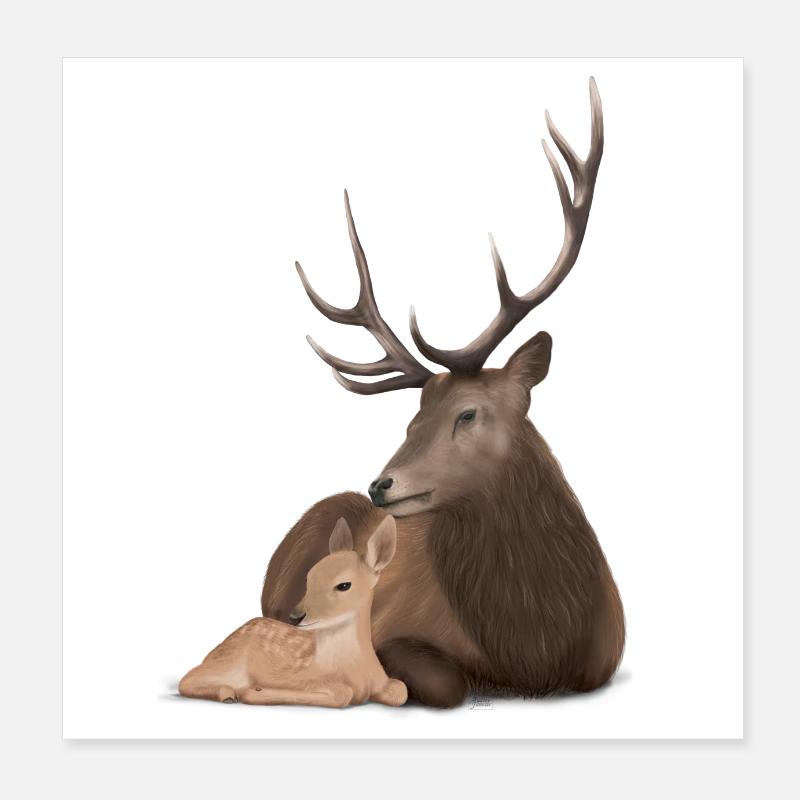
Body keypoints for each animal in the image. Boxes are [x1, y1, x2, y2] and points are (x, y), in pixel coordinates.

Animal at [180, 516, 408, 707]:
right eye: (309, 577)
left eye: (344, 585)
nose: (295, 616)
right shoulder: (300, 678)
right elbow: (343, 694)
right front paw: (256, 691)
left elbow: (401, 690)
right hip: (231, 662)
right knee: (187, 679)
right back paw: (227, 693)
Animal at [261, 78, 625, 708]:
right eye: (412, 419)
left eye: (468, 413)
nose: (380, 485)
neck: (534, 649)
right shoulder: (390, 630)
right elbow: (445, 683)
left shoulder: (606, 656)